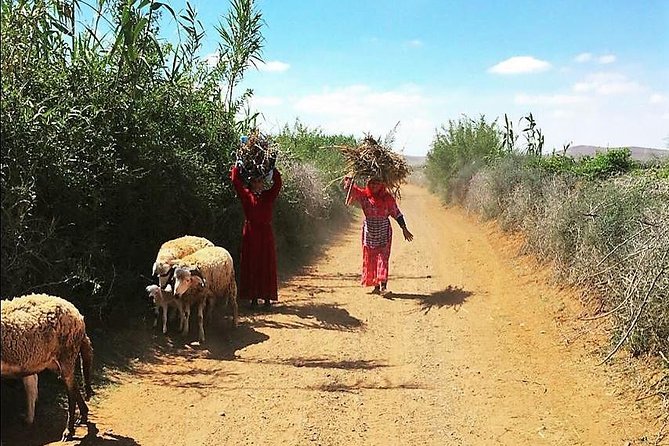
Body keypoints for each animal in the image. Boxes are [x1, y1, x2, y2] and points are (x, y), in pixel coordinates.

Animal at [0, 292, 94, 442]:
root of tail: (78, 315)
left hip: (67, 355)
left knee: (71, 393)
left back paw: (68, 431)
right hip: (53, 362)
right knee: (74, 386)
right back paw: (83, 417)